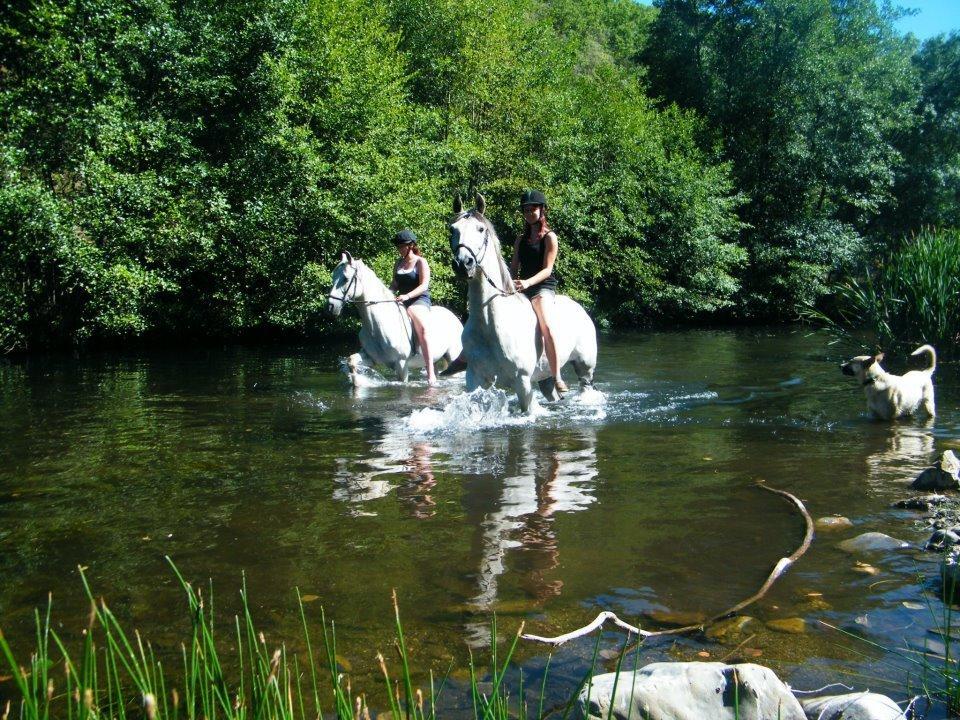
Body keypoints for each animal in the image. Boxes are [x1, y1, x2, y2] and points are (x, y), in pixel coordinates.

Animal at [326, 256, 464, 386]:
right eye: (333, 277)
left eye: (345, 278)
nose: (331, 306)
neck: (378, 326)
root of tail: (455, 319)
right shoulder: (371, 358)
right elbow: (351, 361)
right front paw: (357, 381)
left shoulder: (401, 365)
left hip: (453, 356)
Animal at [448, 195, 596, 410]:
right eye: (453, 229)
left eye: (480, 229)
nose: (463, 263)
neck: (489, 323)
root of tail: (580, 309)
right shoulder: (475, 379)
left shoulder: (523, 382)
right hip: (545, 378)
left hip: (585, 369)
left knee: (585, 385)